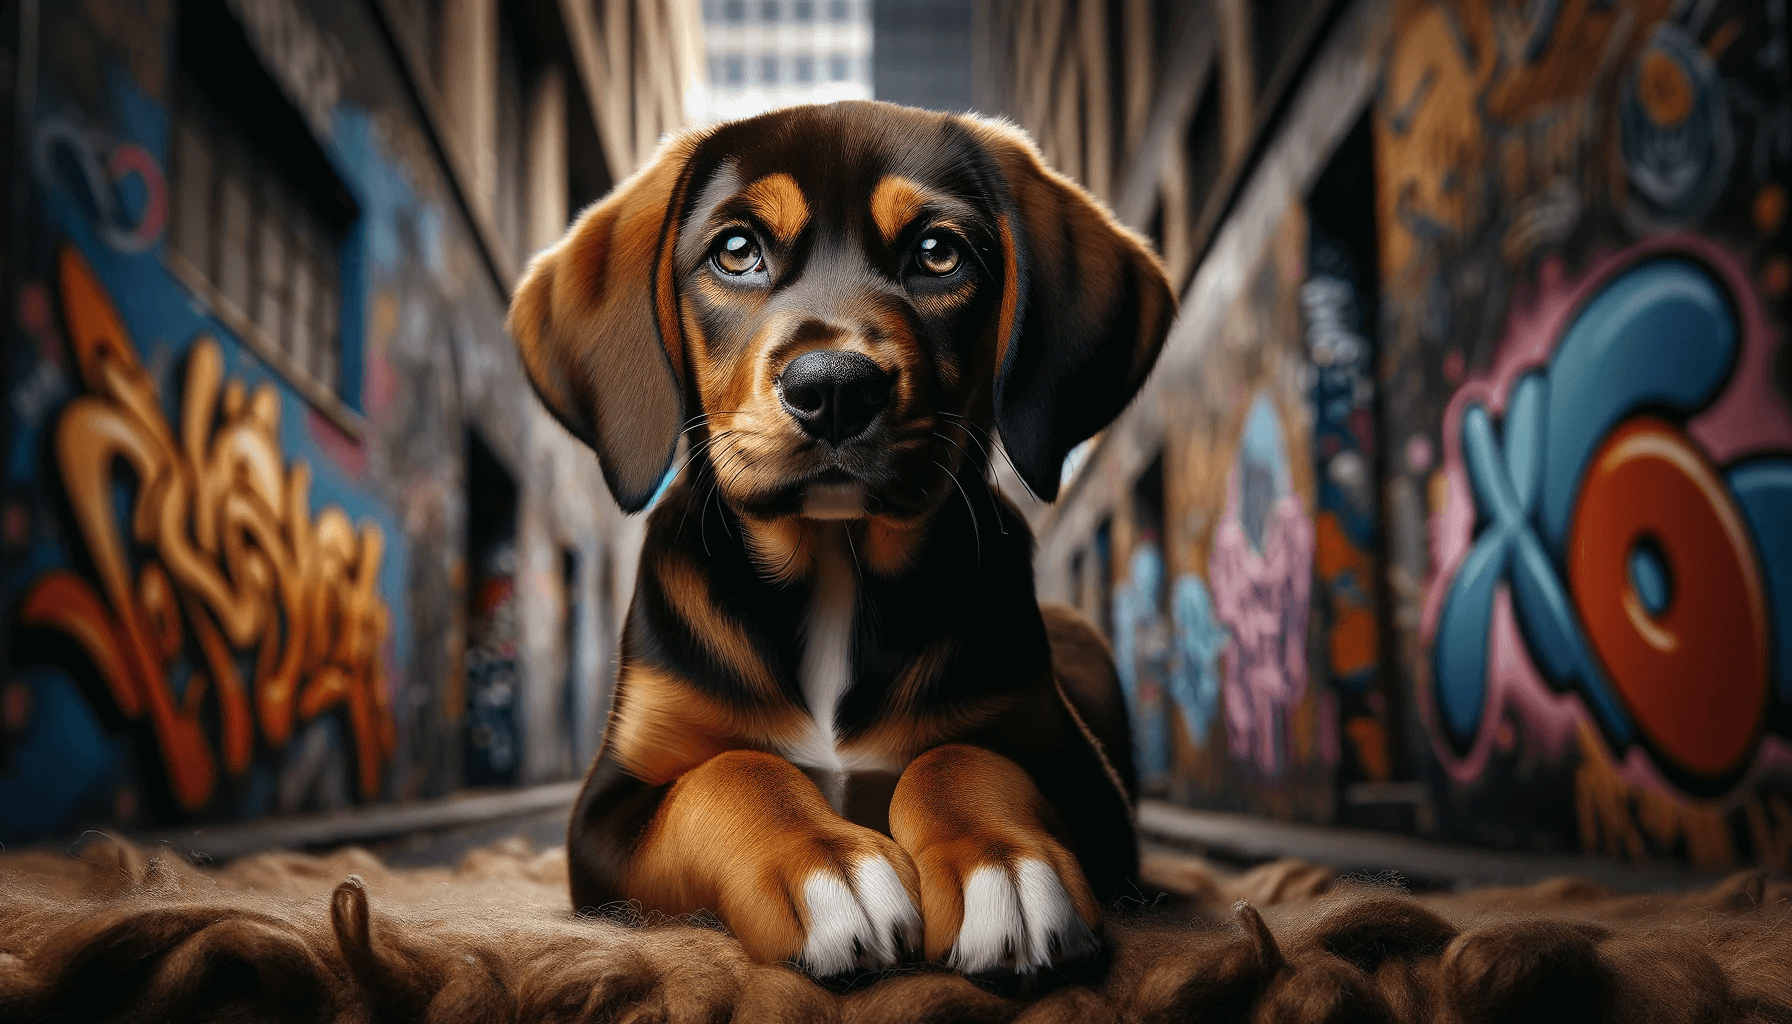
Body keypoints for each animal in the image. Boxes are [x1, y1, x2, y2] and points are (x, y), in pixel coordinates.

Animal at [505, 99, 1175, 982]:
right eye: (736, 251)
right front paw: (825, 866)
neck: (835, 564)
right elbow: (729, 771)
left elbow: (961, 757)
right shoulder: (608, 807)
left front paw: (1003, 864)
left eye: (937, 252)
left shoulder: (1083, 784)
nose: (831, 389)